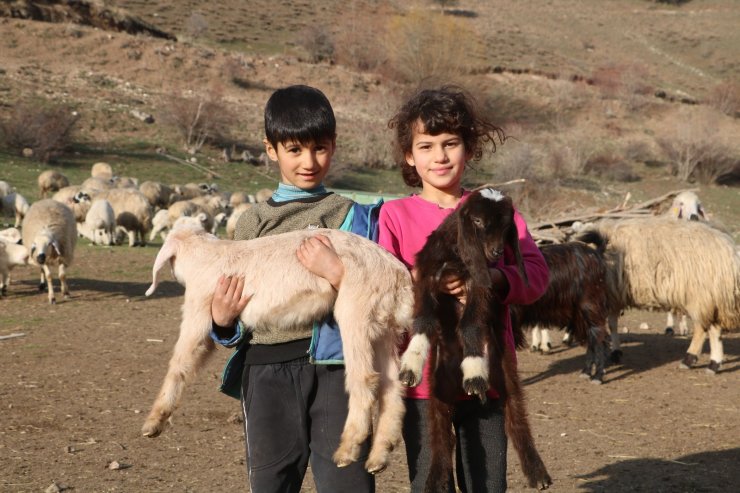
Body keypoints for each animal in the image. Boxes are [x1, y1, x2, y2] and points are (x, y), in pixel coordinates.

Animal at [143, 224, 410, 472]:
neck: (205, 255)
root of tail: (399, 276)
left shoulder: (198, 308)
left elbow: (180, 363)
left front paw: (153, 422)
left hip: (356, 309)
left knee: (364, 378)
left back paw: (347, 449)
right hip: (384, 328)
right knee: (391, 387)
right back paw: (379, 456)